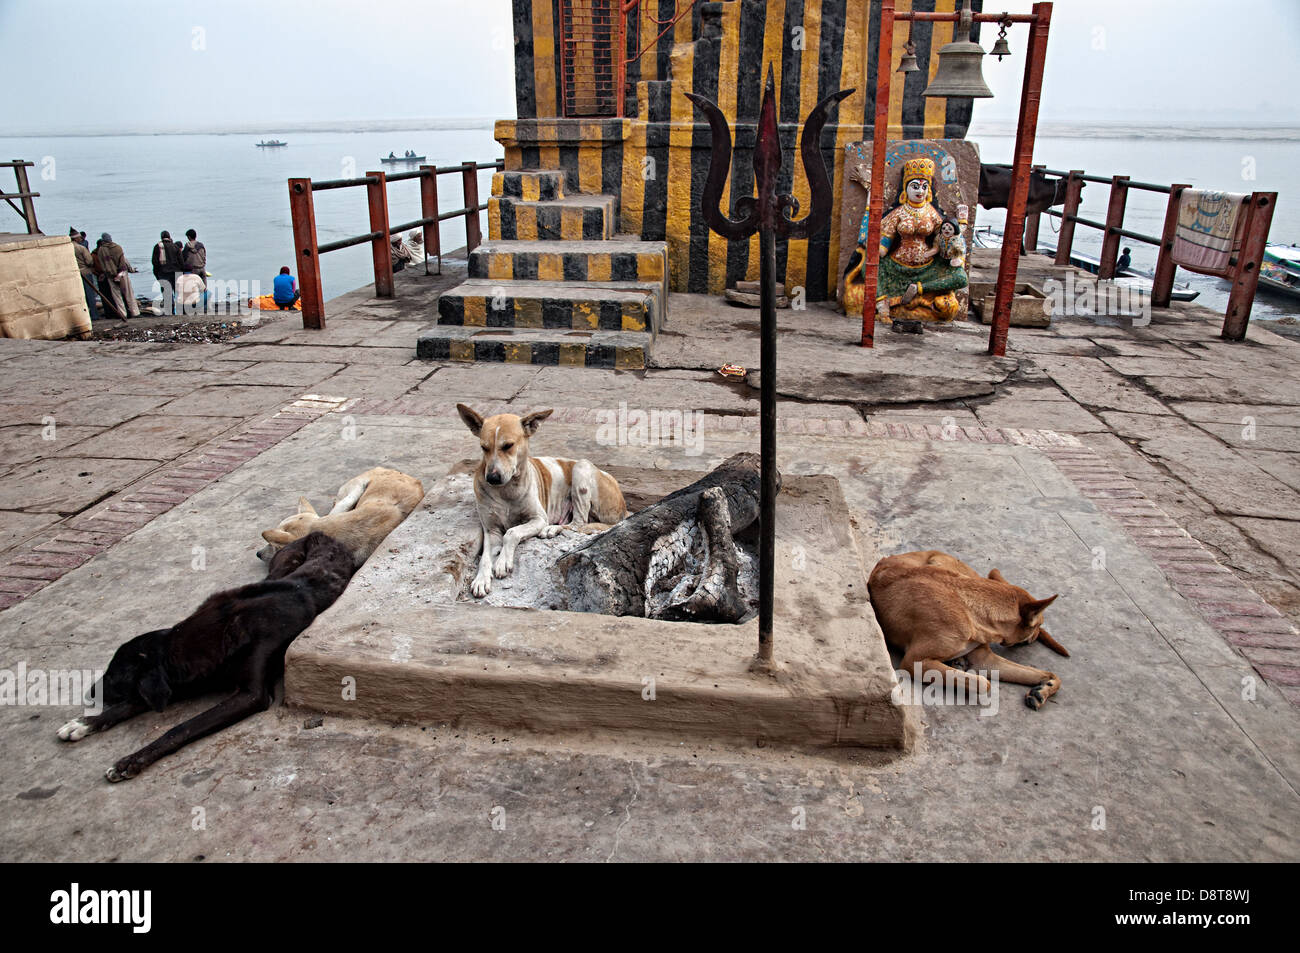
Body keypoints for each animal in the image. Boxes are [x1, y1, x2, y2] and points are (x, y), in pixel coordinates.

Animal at [58, 527, 353, 780]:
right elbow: (130, 704)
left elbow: (182, 727)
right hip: (280, 566)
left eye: (113, 676)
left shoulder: (251, 695)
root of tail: (320, 533)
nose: (90, 693)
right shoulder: (181, 681)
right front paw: (85, 723)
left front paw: (133, 760)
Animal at [457, 400, 629, 595]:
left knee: (579, 523)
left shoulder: (538, 519)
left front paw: (502, 561)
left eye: (508, 445)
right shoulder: (491, 530)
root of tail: (623, 505)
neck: (506, 491)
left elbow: (512, 532)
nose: (492, 478)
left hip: (581, 466)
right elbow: (485, 557)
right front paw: (481, 579)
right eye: (484, 448)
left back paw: (552, 529)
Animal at [873, 546, 1066, 712]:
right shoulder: (914, 661)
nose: (1035, 635)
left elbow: (1052, 675)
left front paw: (1043, 690)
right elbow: (984, 683)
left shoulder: (984, 658)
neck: (971, 608)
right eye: (1039, 624)